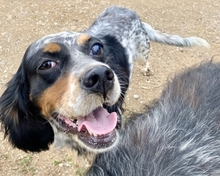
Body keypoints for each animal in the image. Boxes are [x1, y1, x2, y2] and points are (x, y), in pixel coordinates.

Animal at [0, 6, 209, 153]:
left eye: (97, 48)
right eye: (46, 64)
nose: (101, 76)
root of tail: (126, 9)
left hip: (143, 49)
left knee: (146, 59)